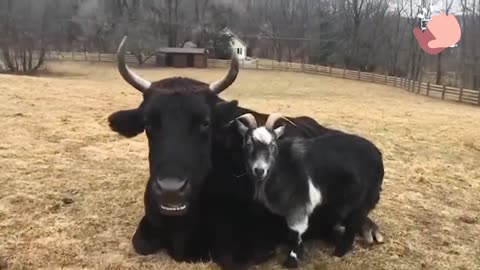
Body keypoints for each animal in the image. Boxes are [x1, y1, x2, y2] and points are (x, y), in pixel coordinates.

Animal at [234, 112, 384, 268]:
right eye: (248, 143)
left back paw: (338, 252)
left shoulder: (299, 204)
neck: (281, 167)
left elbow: (296, 231)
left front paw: (292, 260)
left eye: (272, 145)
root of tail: (378, 156)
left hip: (362, 201)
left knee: (353, 223)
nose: (259, 170)